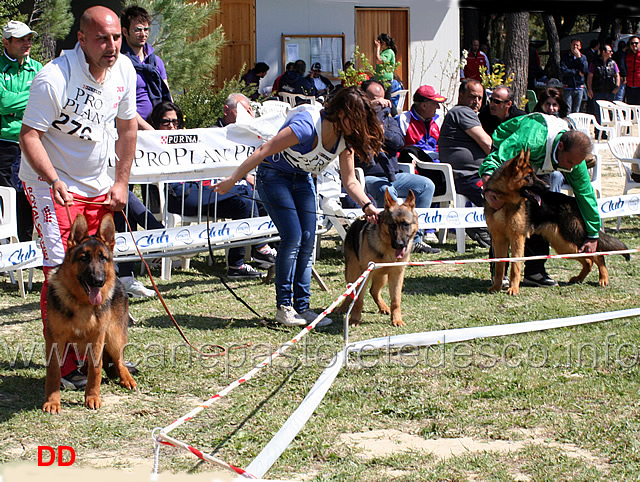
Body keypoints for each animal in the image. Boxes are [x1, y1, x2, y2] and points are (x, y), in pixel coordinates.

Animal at [44, 215, 138, 414]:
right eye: (84, 258)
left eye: (103, 258)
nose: (98, 281)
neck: (82, 303)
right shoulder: (55, 340)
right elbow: (54, 371)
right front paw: (52, 402)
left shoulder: (97, 338)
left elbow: (96, 369)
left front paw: (92, 398)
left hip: (113, 336)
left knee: (119, 360)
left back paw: (126, 379)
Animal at [336, 190, 420, 326]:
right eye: (392, 225)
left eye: (406, 224)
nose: (399, 244)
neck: (388, 249)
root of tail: (356, 221)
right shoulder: (365, 275)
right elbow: (359, 299)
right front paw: (354, 319)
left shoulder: (397, 275)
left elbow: (396, 300)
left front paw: (396, 319)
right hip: (353, 273)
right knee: (351, 291)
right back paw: (343, 307)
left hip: (382, 277)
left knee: (374, 291)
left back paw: (384, 307)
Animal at [484, 151, 632, 296]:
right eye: (529, 176)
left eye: (534, 174)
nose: (547, 187)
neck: (505, 201)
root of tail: (574, 202)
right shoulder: (499, 240)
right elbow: (499, 267)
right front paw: (496, 287)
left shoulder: (517, 239)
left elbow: (515, 266)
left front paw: (513, 289)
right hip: (564, 246)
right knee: (588, 260)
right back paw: (579, 278)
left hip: (570, 240)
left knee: (597, 255)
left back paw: (603, 279)